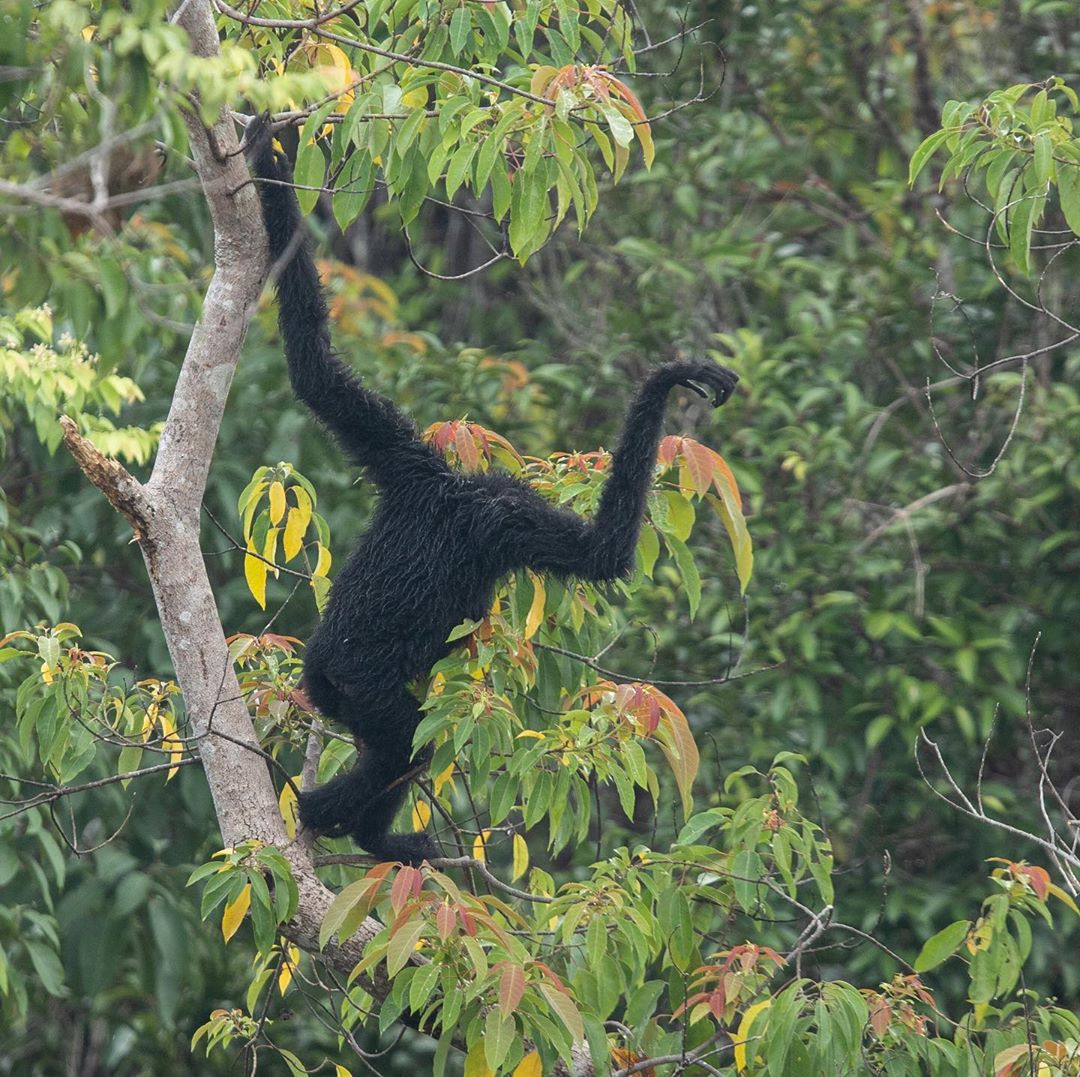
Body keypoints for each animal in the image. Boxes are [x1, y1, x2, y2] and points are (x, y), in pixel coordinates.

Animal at [241, 113, 738, 859]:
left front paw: (266, 154)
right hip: (365, 686)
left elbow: (313, 366)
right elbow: (601, 554)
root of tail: (328, 670)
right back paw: (348, 823)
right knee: (402, 745)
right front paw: (669, 378)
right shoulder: (504, 520)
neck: (459, 495)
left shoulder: (403, 455)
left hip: (326, 677)